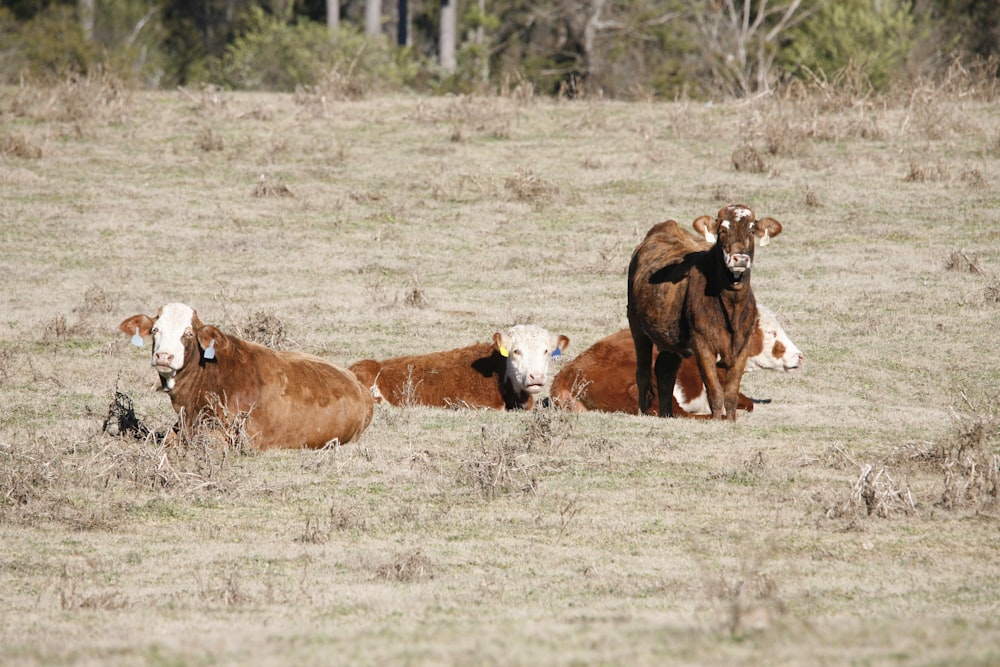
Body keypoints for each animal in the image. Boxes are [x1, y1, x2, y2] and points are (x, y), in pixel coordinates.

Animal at [624, 206, 780, 420]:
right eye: (722, 230)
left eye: (751, 229)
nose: (740, 259)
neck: (731, 307)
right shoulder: (702, 344)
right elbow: (715, 390)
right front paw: (716, 420)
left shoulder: (743, 345)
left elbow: (731, 393)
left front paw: (730, 420)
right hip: (637, 327)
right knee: (643, 372)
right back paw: (642, 410)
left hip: (670, 340)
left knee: (665, 371)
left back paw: (667, 414)